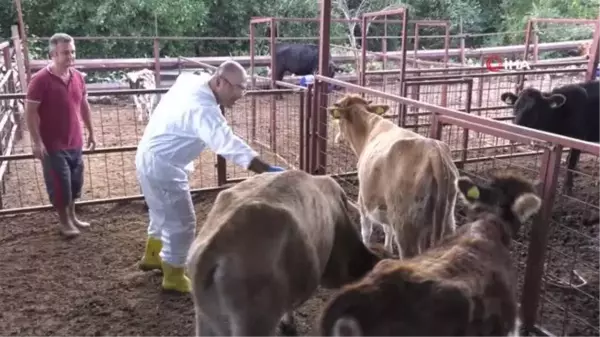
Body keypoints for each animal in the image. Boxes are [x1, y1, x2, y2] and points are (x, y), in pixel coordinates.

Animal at [328, 94, 460, 258]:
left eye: (339, 119)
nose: (337, 138)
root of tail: (434, 152)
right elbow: (387, 228)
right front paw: (388, 249)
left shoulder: (363, 201)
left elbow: (366, 231)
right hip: (448, 220)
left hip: (405, 225)